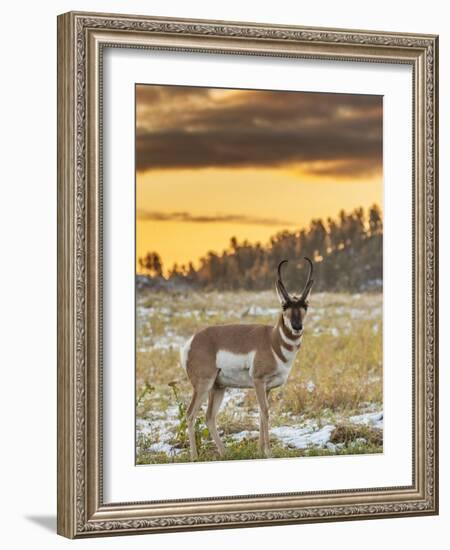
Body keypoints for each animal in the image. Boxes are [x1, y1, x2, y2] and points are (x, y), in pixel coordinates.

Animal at [179, 258, 312, 462]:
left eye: (305, 305)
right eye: (284, 306)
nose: (297, 326)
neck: (272, 340)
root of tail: (192, 341)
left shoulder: (267, 388)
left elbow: (262, 414)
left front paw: (259, 451)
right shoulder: (258, 381)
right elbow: (265, 412)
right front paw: (268, 452)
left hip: (218, 387)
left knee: (209, 417)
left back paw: (225, 453)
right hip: (203, 385)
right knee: (190, 414)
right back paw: (195, 457)